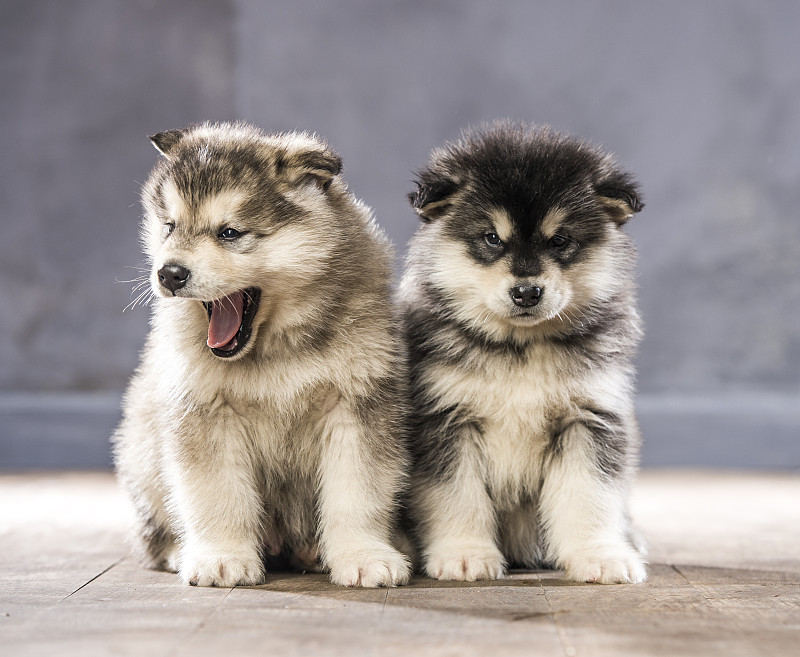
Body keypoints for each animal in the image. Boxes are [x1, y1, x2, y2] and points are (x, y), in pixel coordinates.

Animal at [112, 120, 410, 588]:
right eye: (170, 226)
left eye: (229, 233)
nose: (169, 273)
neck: (274, 347)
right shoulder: (205, 411)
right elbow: (216, 494)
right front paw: (221, 557)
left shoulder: (357, 407)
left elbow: (356, 492)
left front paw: (364, 555)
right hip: (142, 450)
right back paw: (180, 550)